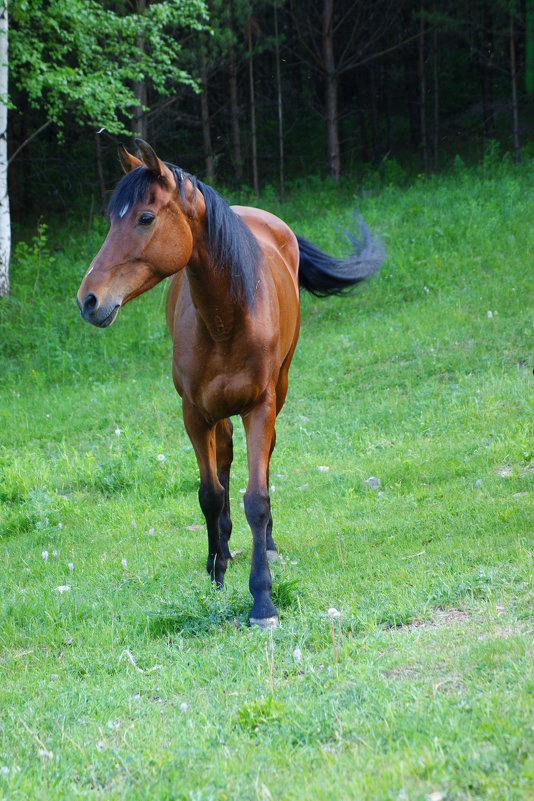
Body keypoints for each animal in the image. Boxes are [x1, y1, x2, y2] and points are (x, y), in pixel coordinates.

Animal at [76, 141, 386, 628]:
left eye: (145, 217)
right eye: (111, 220)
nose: (88, 300)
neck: (227, 318)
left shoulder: (259, 406)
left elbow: (255, 498)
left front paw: (262, 599)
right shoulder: (194, 413)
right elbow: (209, 495)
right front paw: (216, 572)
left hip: (278, 391)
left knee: (263, 460)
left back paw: (269, 547)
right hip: (217, 413)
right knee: (222, 466)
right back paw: (221, 548)